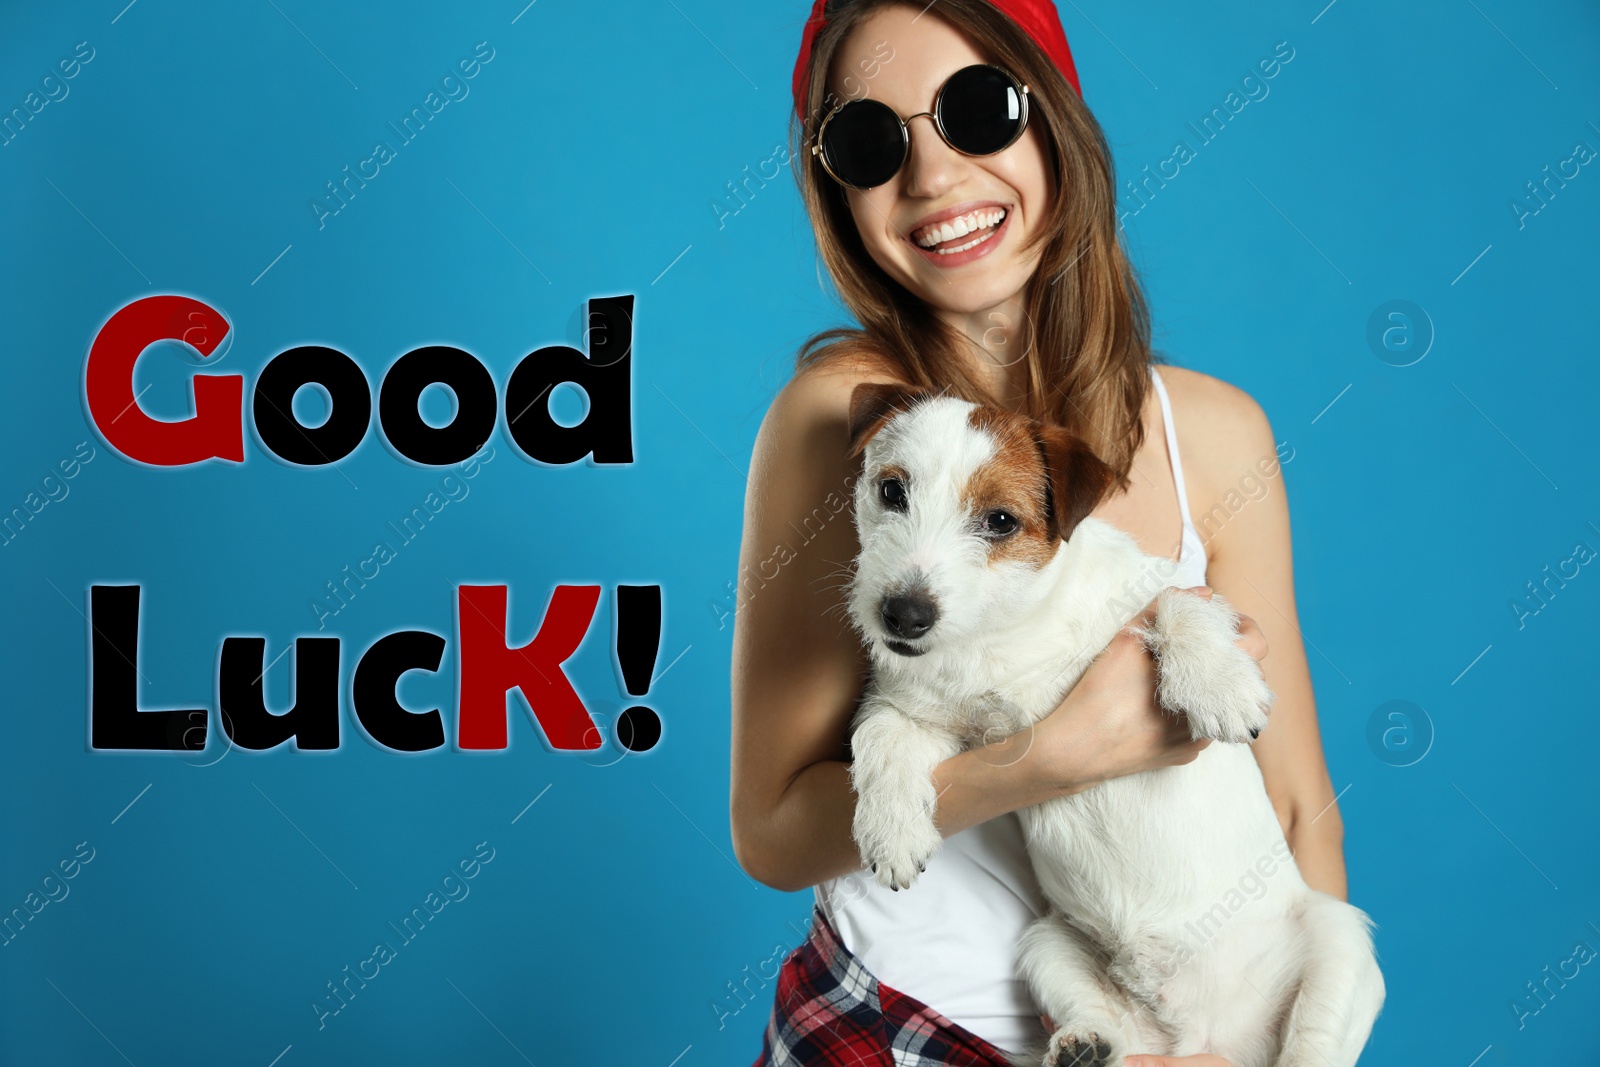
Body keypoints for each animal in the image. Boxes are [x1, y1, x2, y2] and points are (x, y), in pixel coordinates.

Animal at [844, 383, 1382, 1067]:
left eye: (1000, 521)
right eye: (892, 491)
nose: (903, 615)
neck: (1011, 630)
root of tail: (1204, 1040)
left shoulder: (1163, 597)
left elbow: (1177, 601)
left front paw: (1220, 685)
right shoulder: (924, 715)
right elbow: (880, 736)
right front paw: (891, 831)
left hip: (1339, 941)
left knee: (1309, 1044)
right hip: (1047, 946)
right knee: (1113, 1035)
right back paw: (1082, 1045)